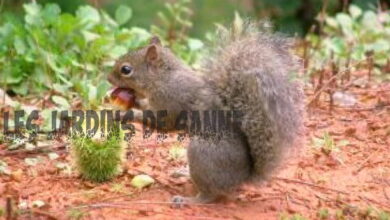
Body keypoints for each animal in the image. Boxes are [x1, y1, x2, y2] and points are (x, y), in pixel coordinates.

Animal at [107, 21, 304, 205]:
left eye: (126, 69)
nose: (108, 79)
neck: (163, 78)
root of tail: (242, 179)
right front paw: (135, 101)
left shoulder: (171, 101)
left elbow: (162, 123)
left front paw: (125, 114)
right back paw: (183, 173)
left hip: (202, 154)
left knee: (209, 195)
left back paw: (188, 200)